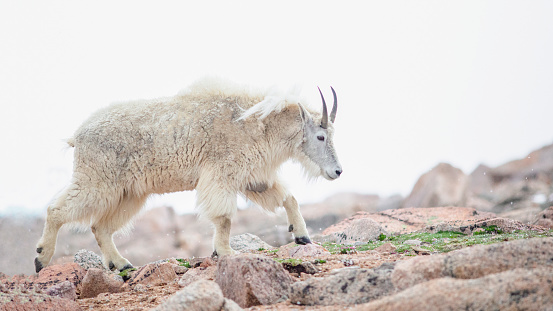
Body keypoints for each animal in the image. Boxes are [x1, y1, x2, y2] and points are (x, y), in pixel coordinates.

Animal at [34, 78, 340, 272]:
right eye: (321, 136)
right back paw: (41, 258)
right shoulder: (221, 173)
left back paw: (122, 264)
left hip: (129, 193)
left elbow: (288, 198)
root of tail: (77, 136)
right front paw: (226, 252)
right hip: (97, 180)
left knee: (101, 227)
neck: (257, 123)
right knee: (58, 210)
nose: (337, 171)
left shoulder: (253, 178)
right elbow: (224, 217)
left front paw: (302, 236)